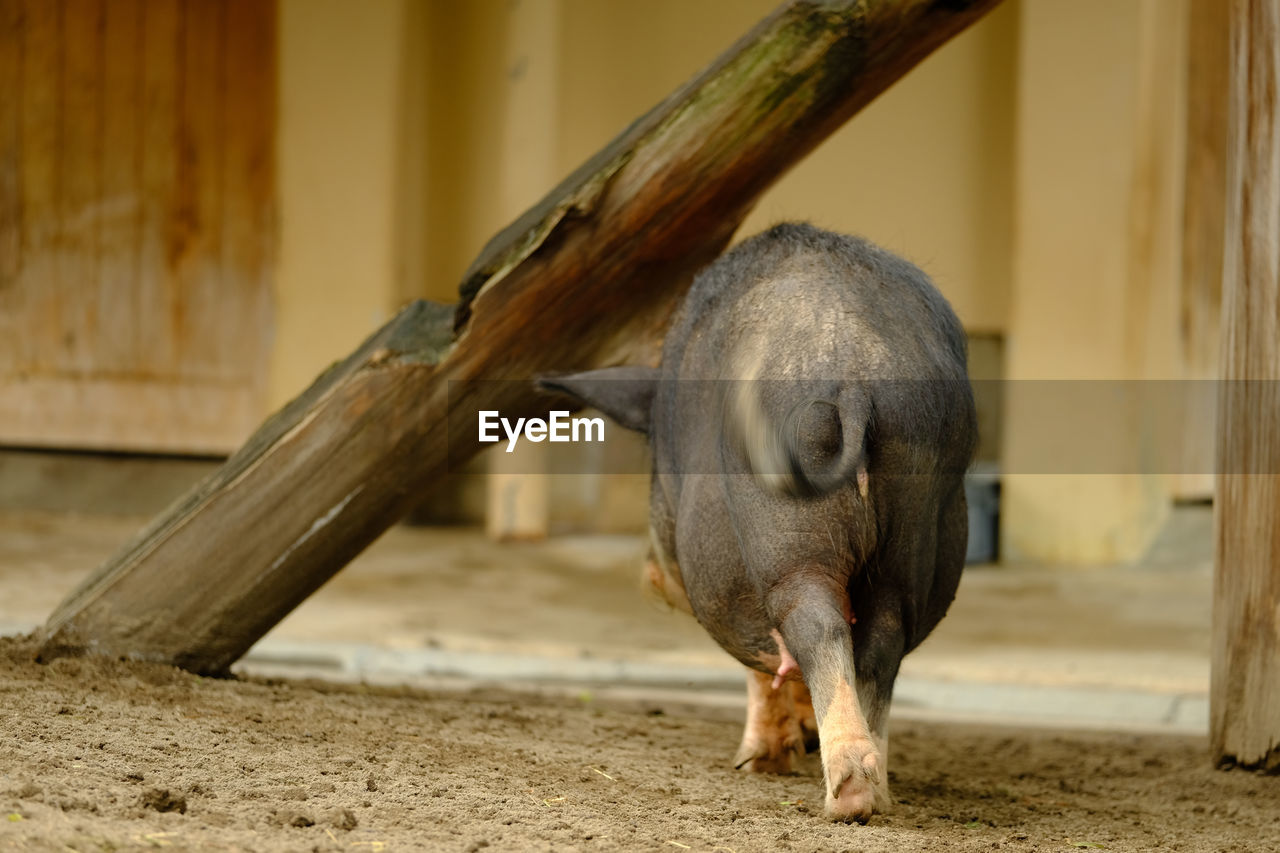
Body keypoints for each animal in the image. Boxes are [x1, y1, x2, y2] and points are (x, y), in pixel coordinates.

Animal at [537, 222, 967, 819]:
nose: (652, 578)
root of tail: (853, 374)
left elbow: (762, 666)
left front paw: (758, 763)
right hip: (914, 520)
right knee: (880, 638)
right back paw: (878, 794)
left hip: (782, 538)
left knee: (814, 626)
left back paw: (846, 795)